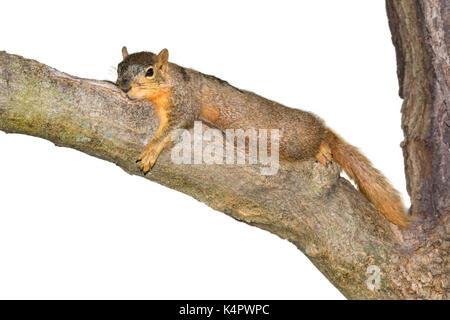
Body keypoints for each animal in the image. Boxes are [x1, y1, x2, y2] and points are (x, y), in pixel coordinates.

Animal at [115, 47, 412, 228]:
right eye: (119, 68)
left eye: (150, 71)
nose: (124, 87)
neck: (172, 80)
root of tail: (319, 126)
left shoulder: (184, 103)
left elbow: (173, 128)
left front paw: (151, 149)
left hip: (296, 142)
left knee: (319, 143)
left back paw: (322, 148)